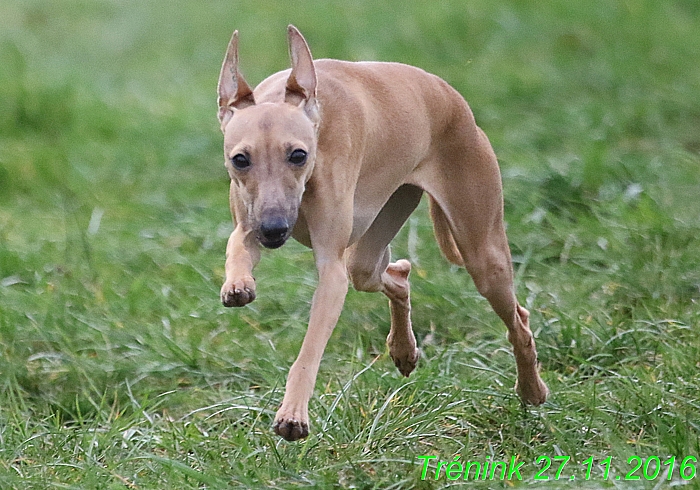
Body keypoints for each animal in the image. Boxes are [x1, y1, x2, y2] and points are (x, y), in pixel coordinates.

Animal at [216, 24, 548, 442]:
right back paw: (404, 350)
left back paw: (531, 390)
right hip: (375, 238)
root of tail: (452, 98)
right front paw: (237, 284)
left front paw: (293, 415)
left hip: (483, 253)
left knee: (518, 320)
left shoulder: (332, 271)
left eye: (298, 155)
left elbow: (309, 351)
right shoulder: (250, 222)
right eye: (240, 159)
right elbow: (237, 244)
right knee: (396, 274)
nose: (275, 230)